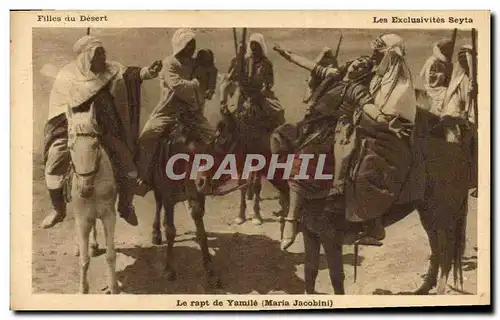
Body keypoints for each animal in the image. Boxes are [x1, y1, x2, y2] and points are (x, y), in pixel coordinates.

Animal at [66, 103, 118, 296]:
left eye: (95, 145)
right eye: (70, 147)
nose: (85, 190)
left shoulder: (109, 215)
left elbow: (110, 255)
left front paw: (113, 287)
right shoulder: (82, 219)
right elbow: (84, 259)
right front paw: (83, 288)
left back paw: (94, 245)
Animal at [274, 87, 472, 296]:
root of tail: (459, 150)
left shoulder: (330, 237)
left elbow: (336, 276)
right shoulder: (311, 234)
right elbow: (310, 271)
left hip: (445, 216)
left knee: (446, 252)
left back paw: (440, 290)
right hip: (429, 215)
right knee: (436, 249)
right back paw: (424, 288)